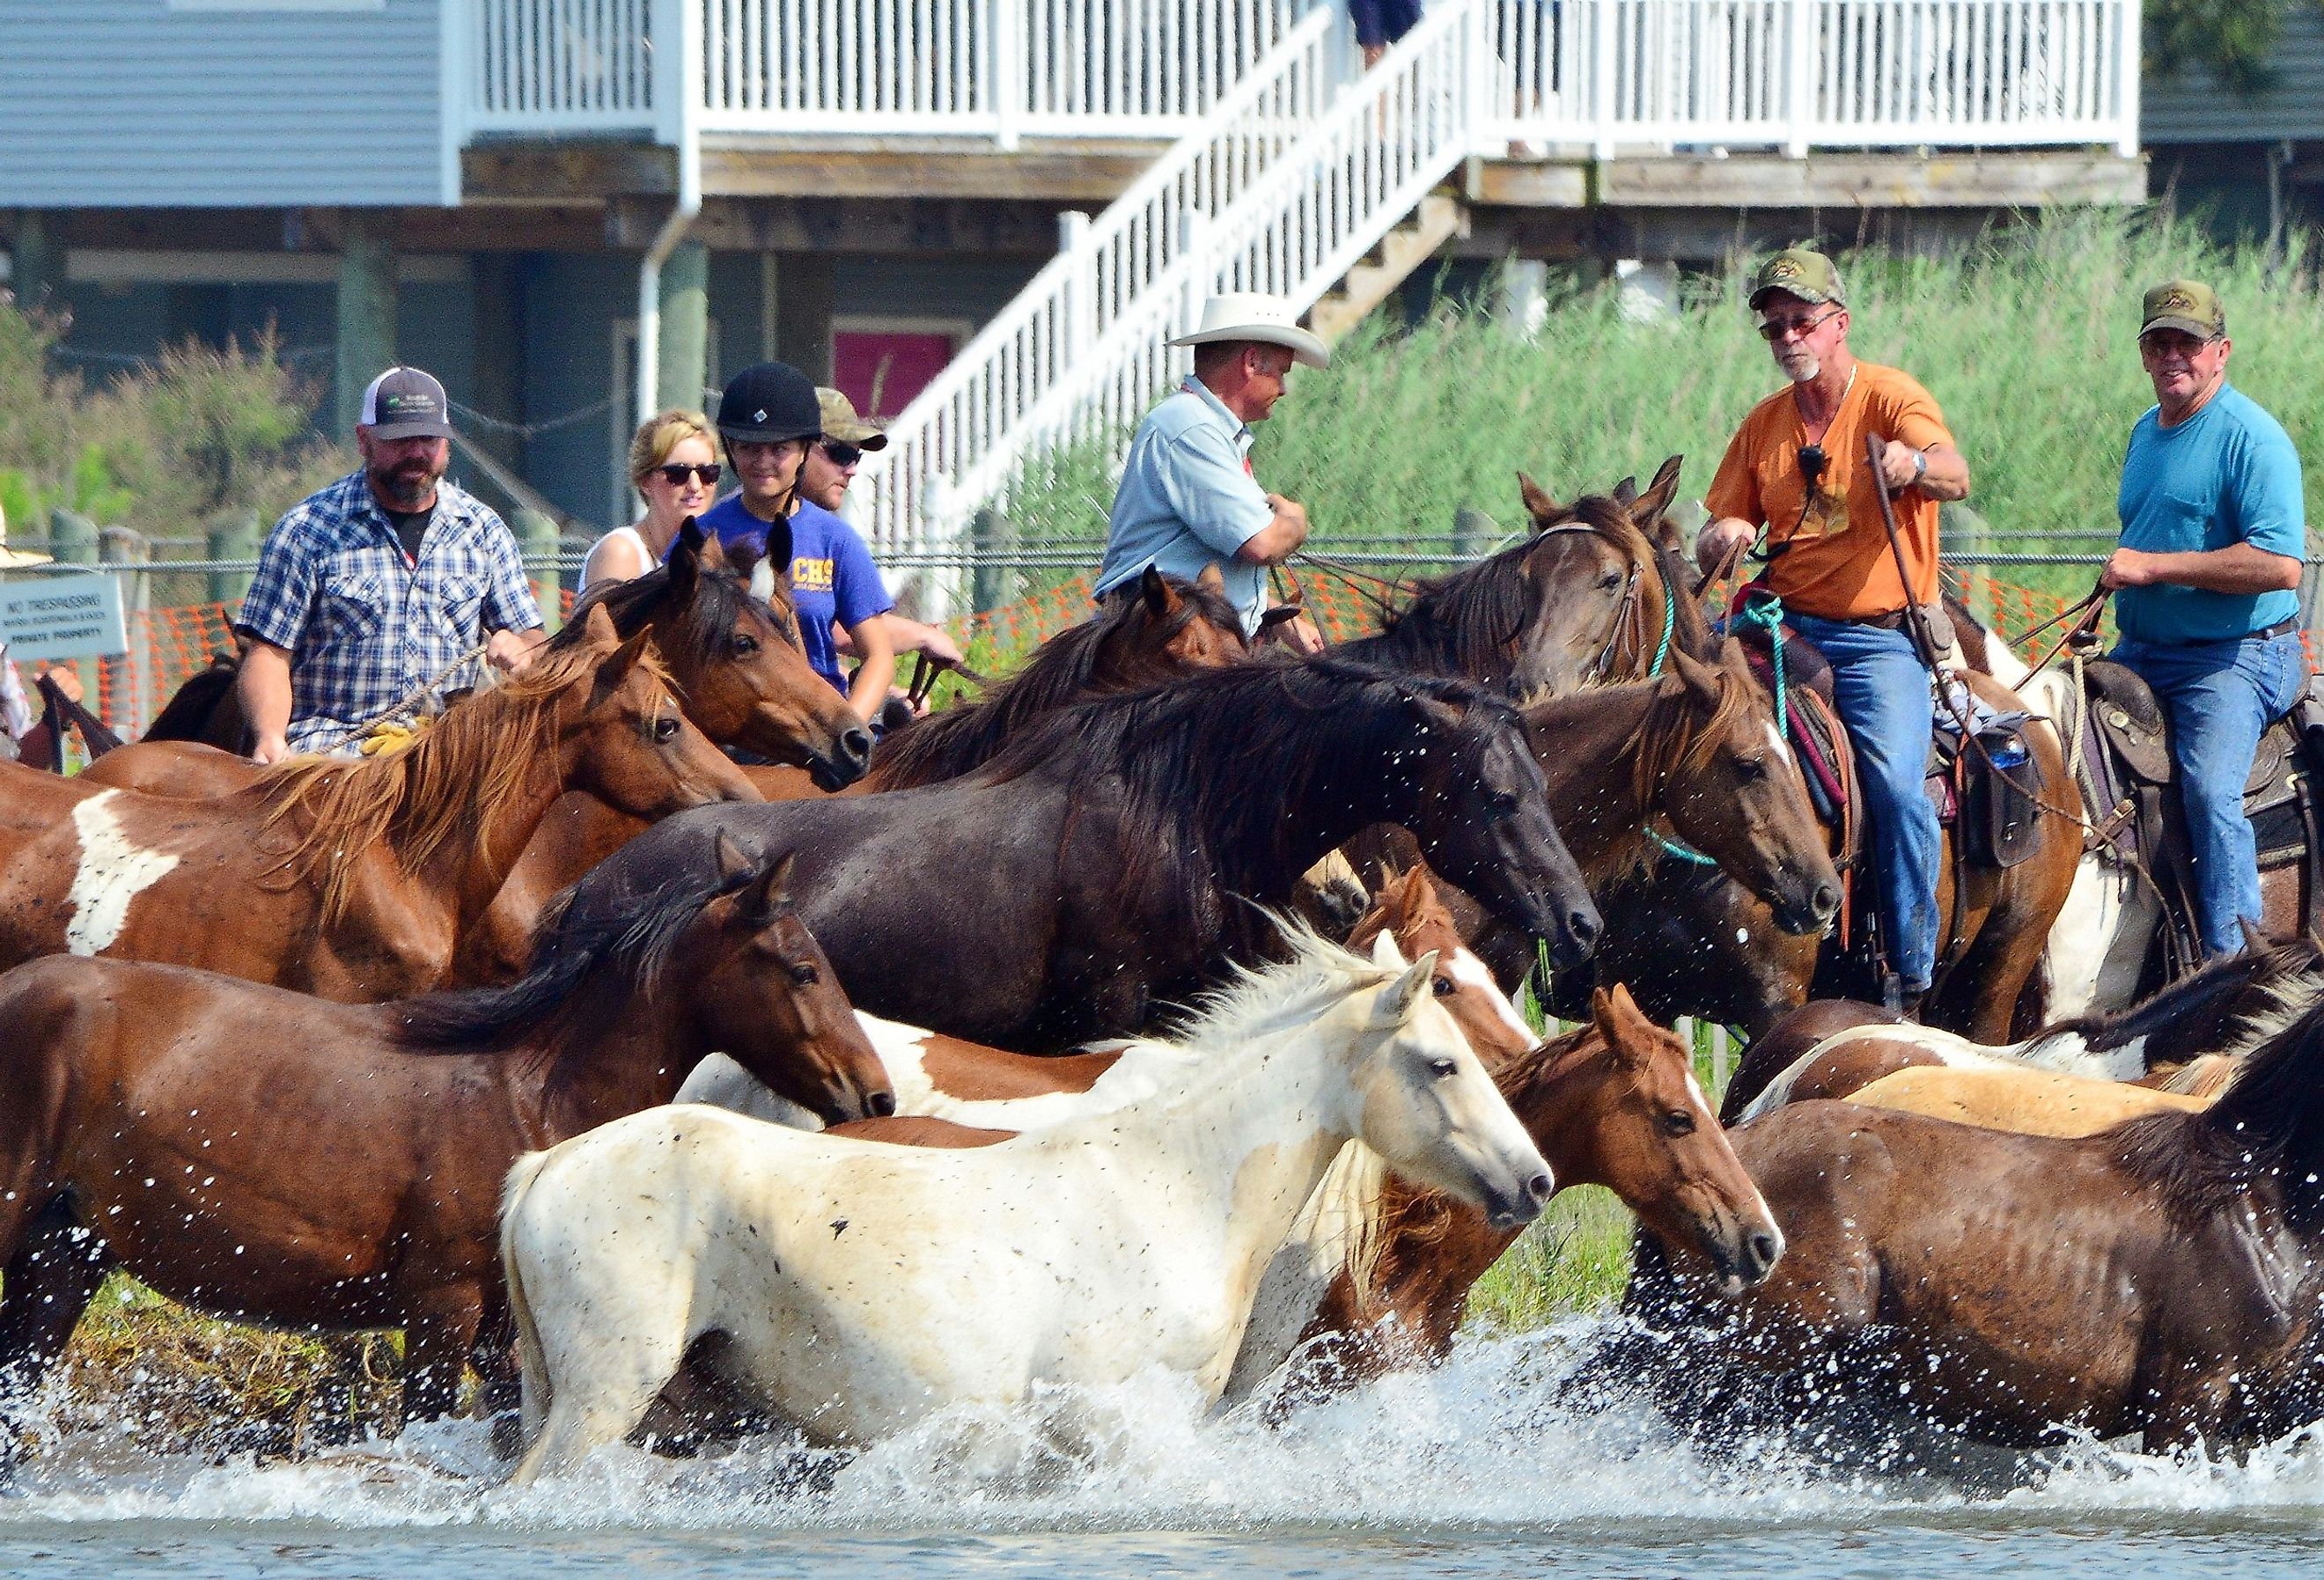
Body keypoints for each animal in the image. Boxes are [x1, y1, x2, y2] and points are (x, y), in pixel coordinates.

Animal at [0, 841, 887, 1477]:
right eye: (803, 969)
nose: (875, 1095)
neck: (524, 1096)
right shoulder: (441, 1310)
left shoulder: (500, 1331)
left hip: (63, 1258)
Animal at [492, 924, 1552, 1477]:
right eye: (1442, 1060)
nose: (1534, 1180)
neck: (1179, 1183)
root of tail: (544, 1166)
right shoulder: (1121, 1427)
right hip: (603, 1399)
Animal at [553, 659, 1607, 1055]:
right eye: (1499, 794)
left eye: (1542, 782)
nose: (1580, 919)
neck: (1188, 818)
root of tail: (585, 896)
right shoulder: (1113, 1012)